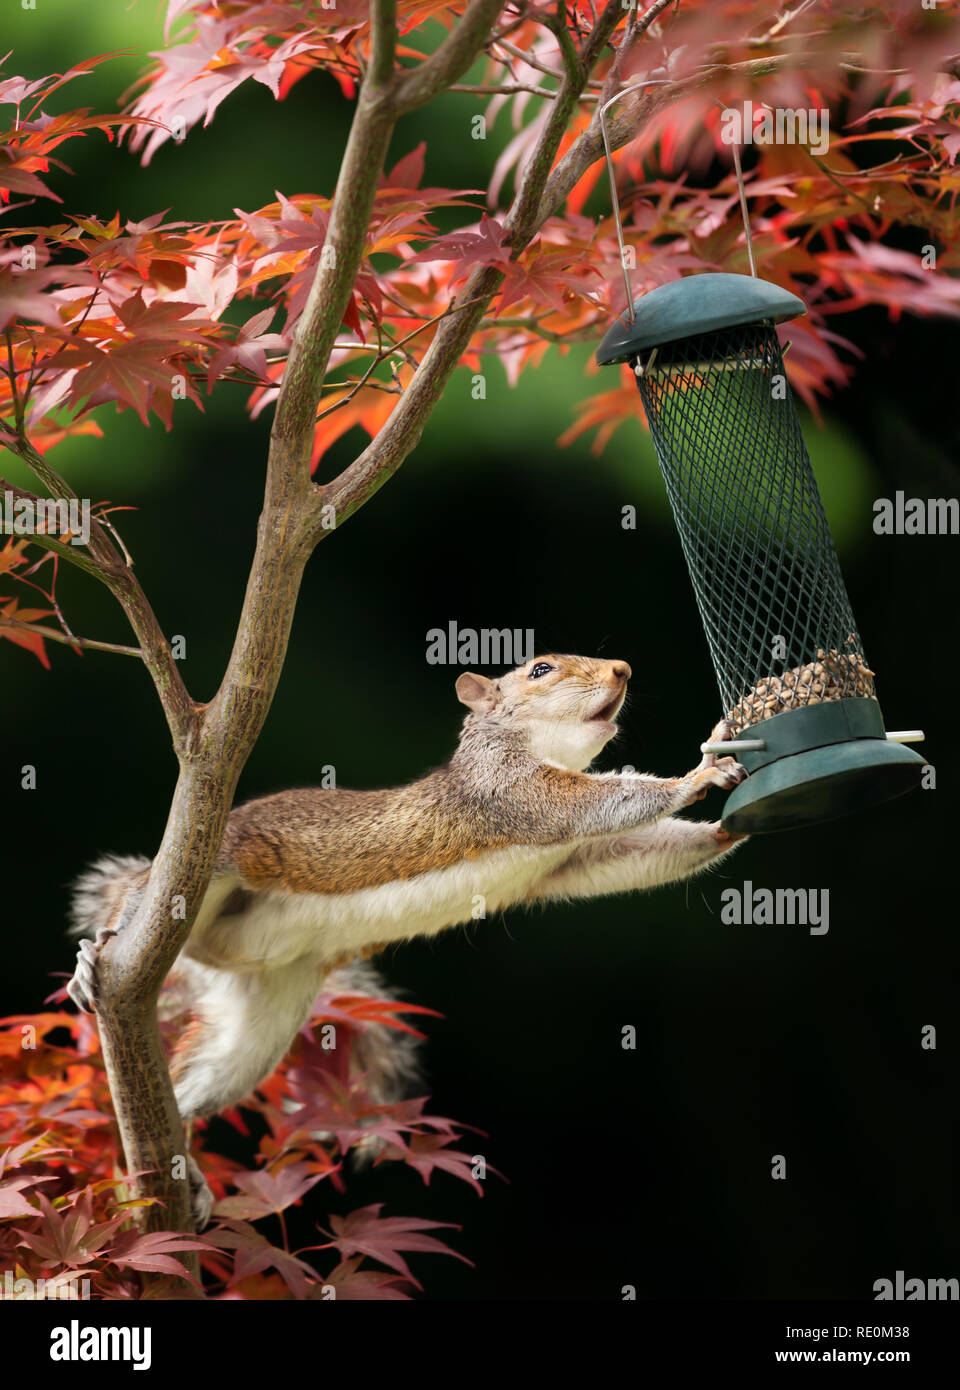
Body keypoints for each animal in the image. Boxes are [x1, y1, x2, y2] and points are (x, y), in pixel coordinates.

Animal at [67, 653, 748, 1220]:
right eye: (541, 669)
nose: (622, 670)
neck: (534, 751)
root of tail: (205, 950)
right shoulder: (511, 795)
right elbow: (601, 803)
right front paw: (695, 777)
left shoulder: (570, 860)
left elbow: (626, 855)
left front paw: (726, 829)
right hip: (216, 866)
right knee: (138, 899)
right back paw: (97, 954)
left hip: (268, 1005)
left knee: (203, 1083)